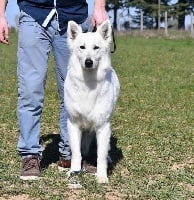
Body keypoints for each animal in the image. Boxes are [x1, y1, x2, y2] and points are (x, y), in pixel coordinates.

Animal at [65, 19, 119, 184]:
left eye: (96, 48)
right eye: (82, 47)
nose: (88, 62)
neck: (88, 83)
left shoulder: (103, 126)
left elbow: (101, 155)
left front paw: (102, 176)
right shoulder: (74, 124)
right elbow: (76, 152)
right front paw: (74, 171)